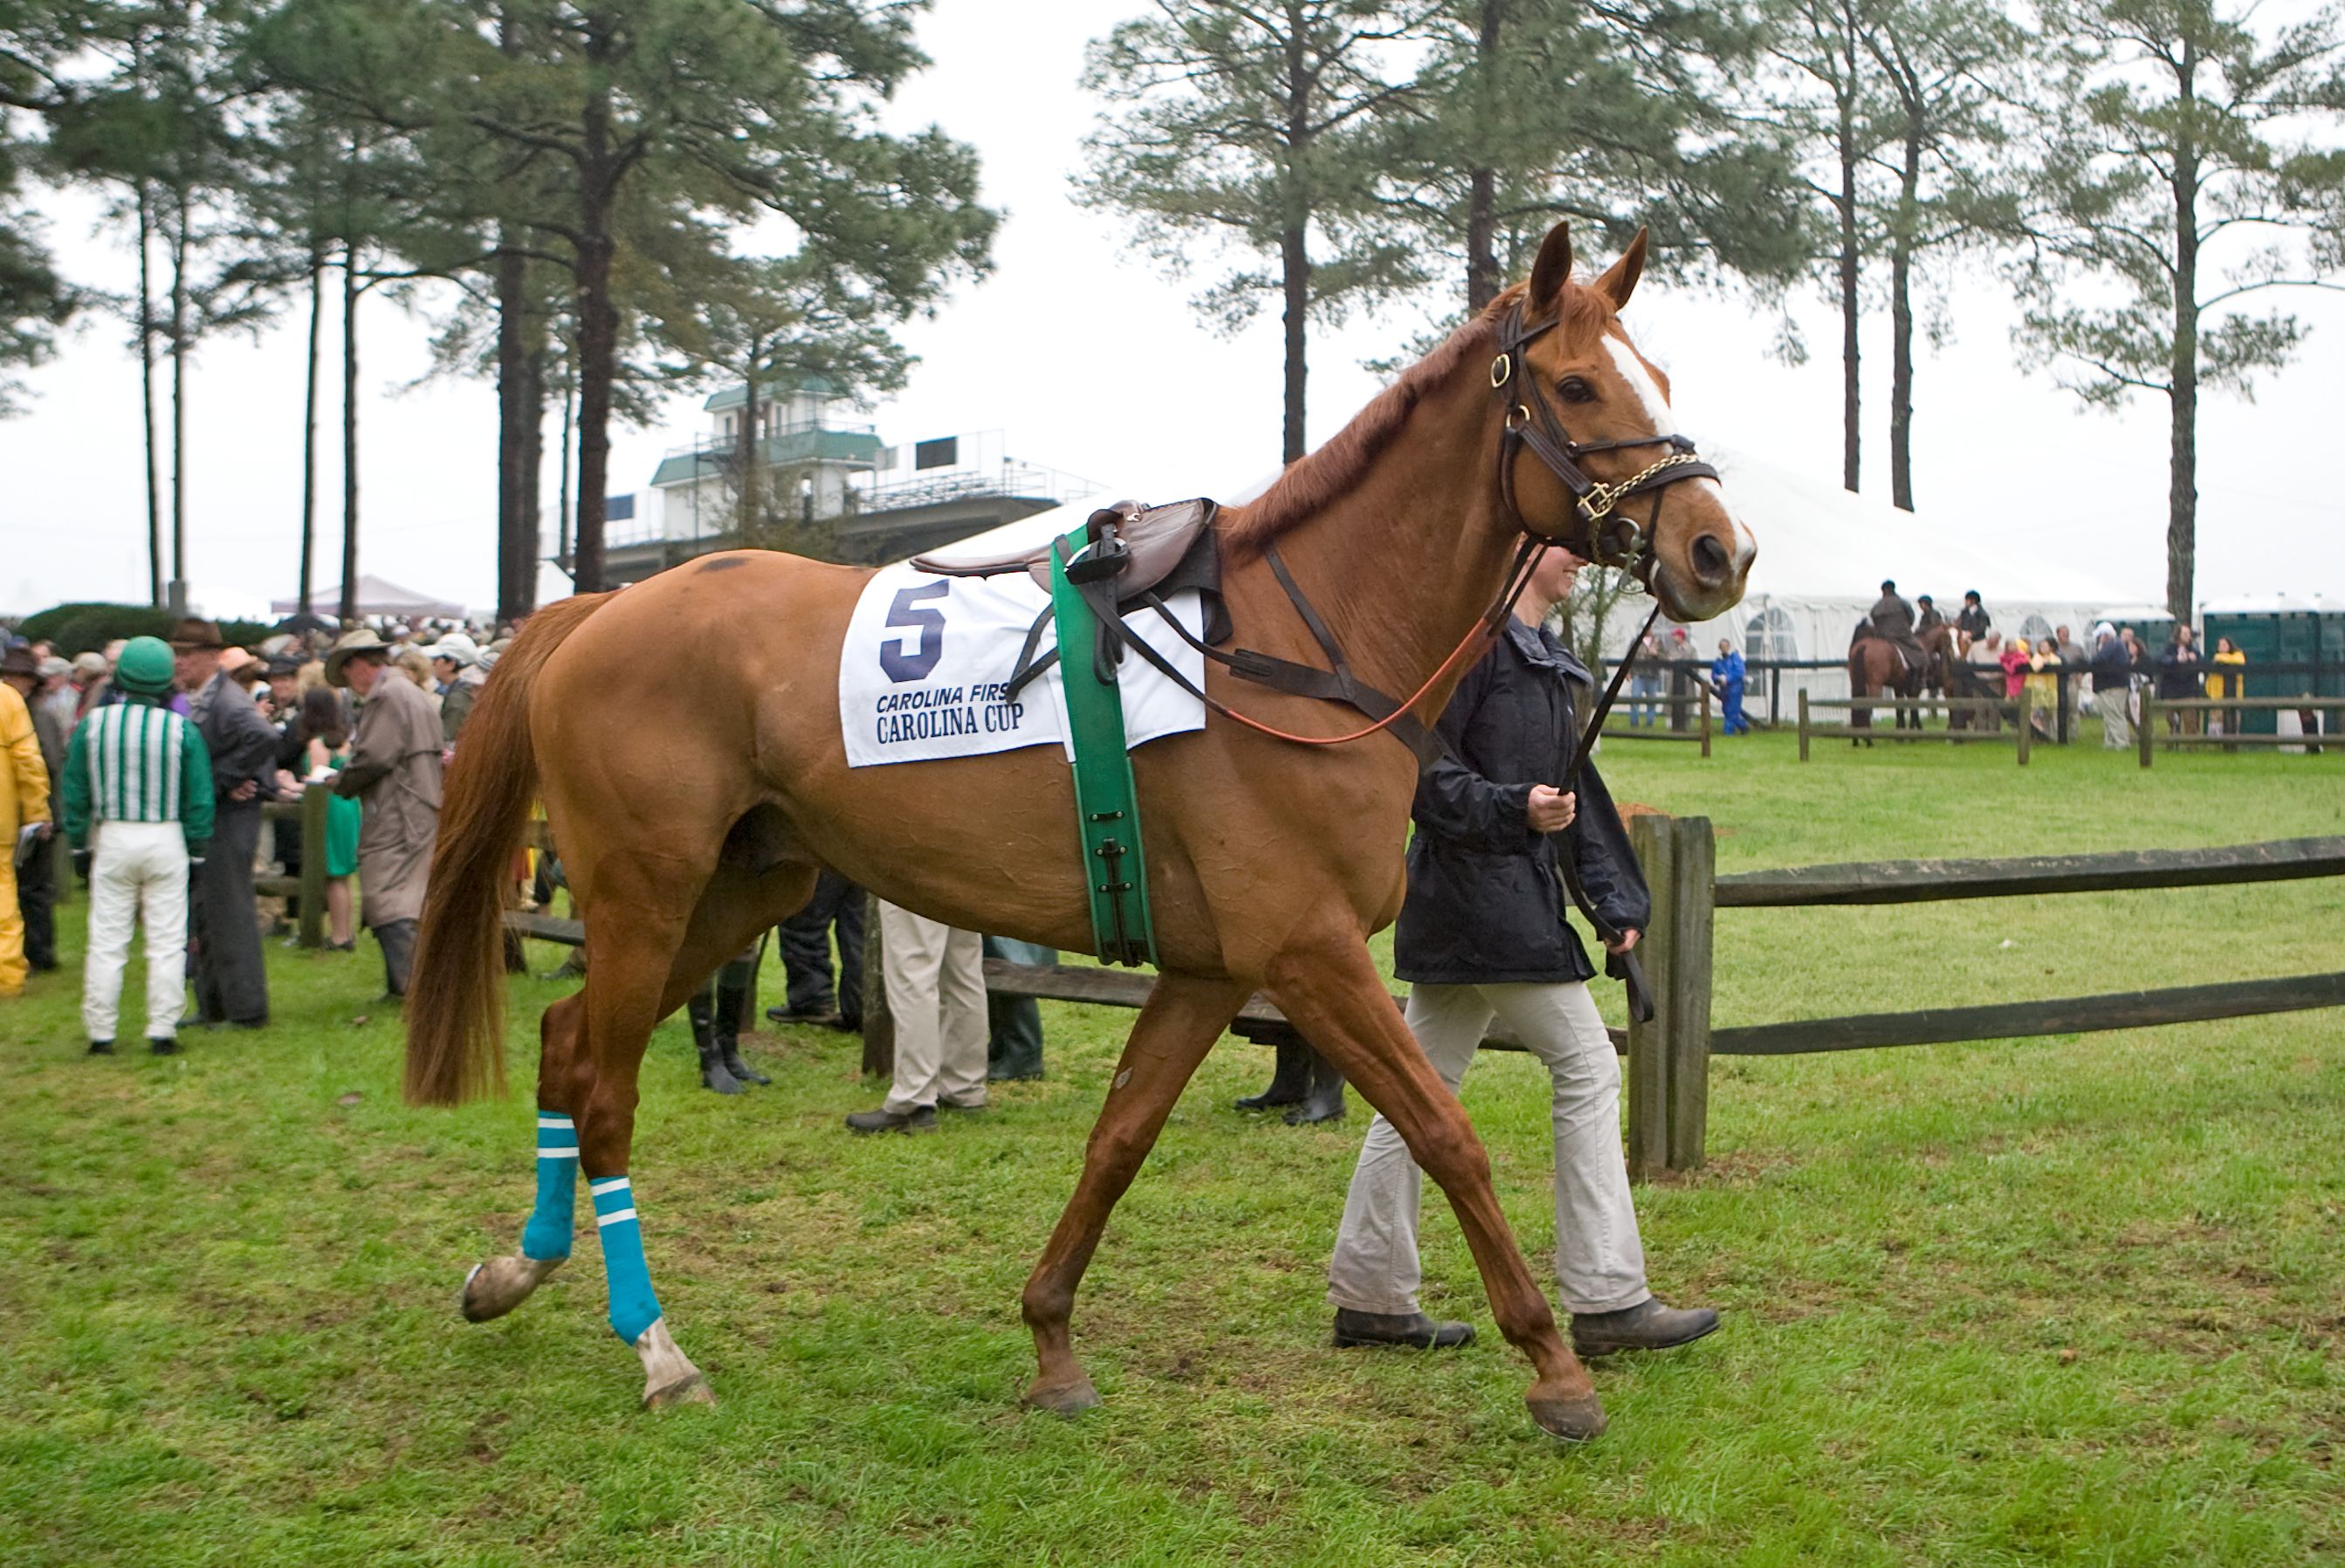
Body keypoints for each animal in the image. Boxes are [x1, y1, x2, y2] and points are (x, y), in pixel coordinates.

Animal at [412, 223, 1754, 1443]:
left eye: (1660, 377)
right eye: (1576, 385)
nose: (1717, 549)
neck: (1290, 644)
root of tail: (594, 609)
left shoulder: (1213, 965)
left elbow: (1119, 1136)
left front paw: (1051, 1339)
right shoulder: (1305, 949)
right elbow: (1444, 1134)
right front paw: (1555, 1367)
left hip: (740, 888)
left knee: (565, 1043)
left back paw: (514, 1269)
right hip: (646, 889)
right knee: (603, 1087)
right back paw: (656, 1348)